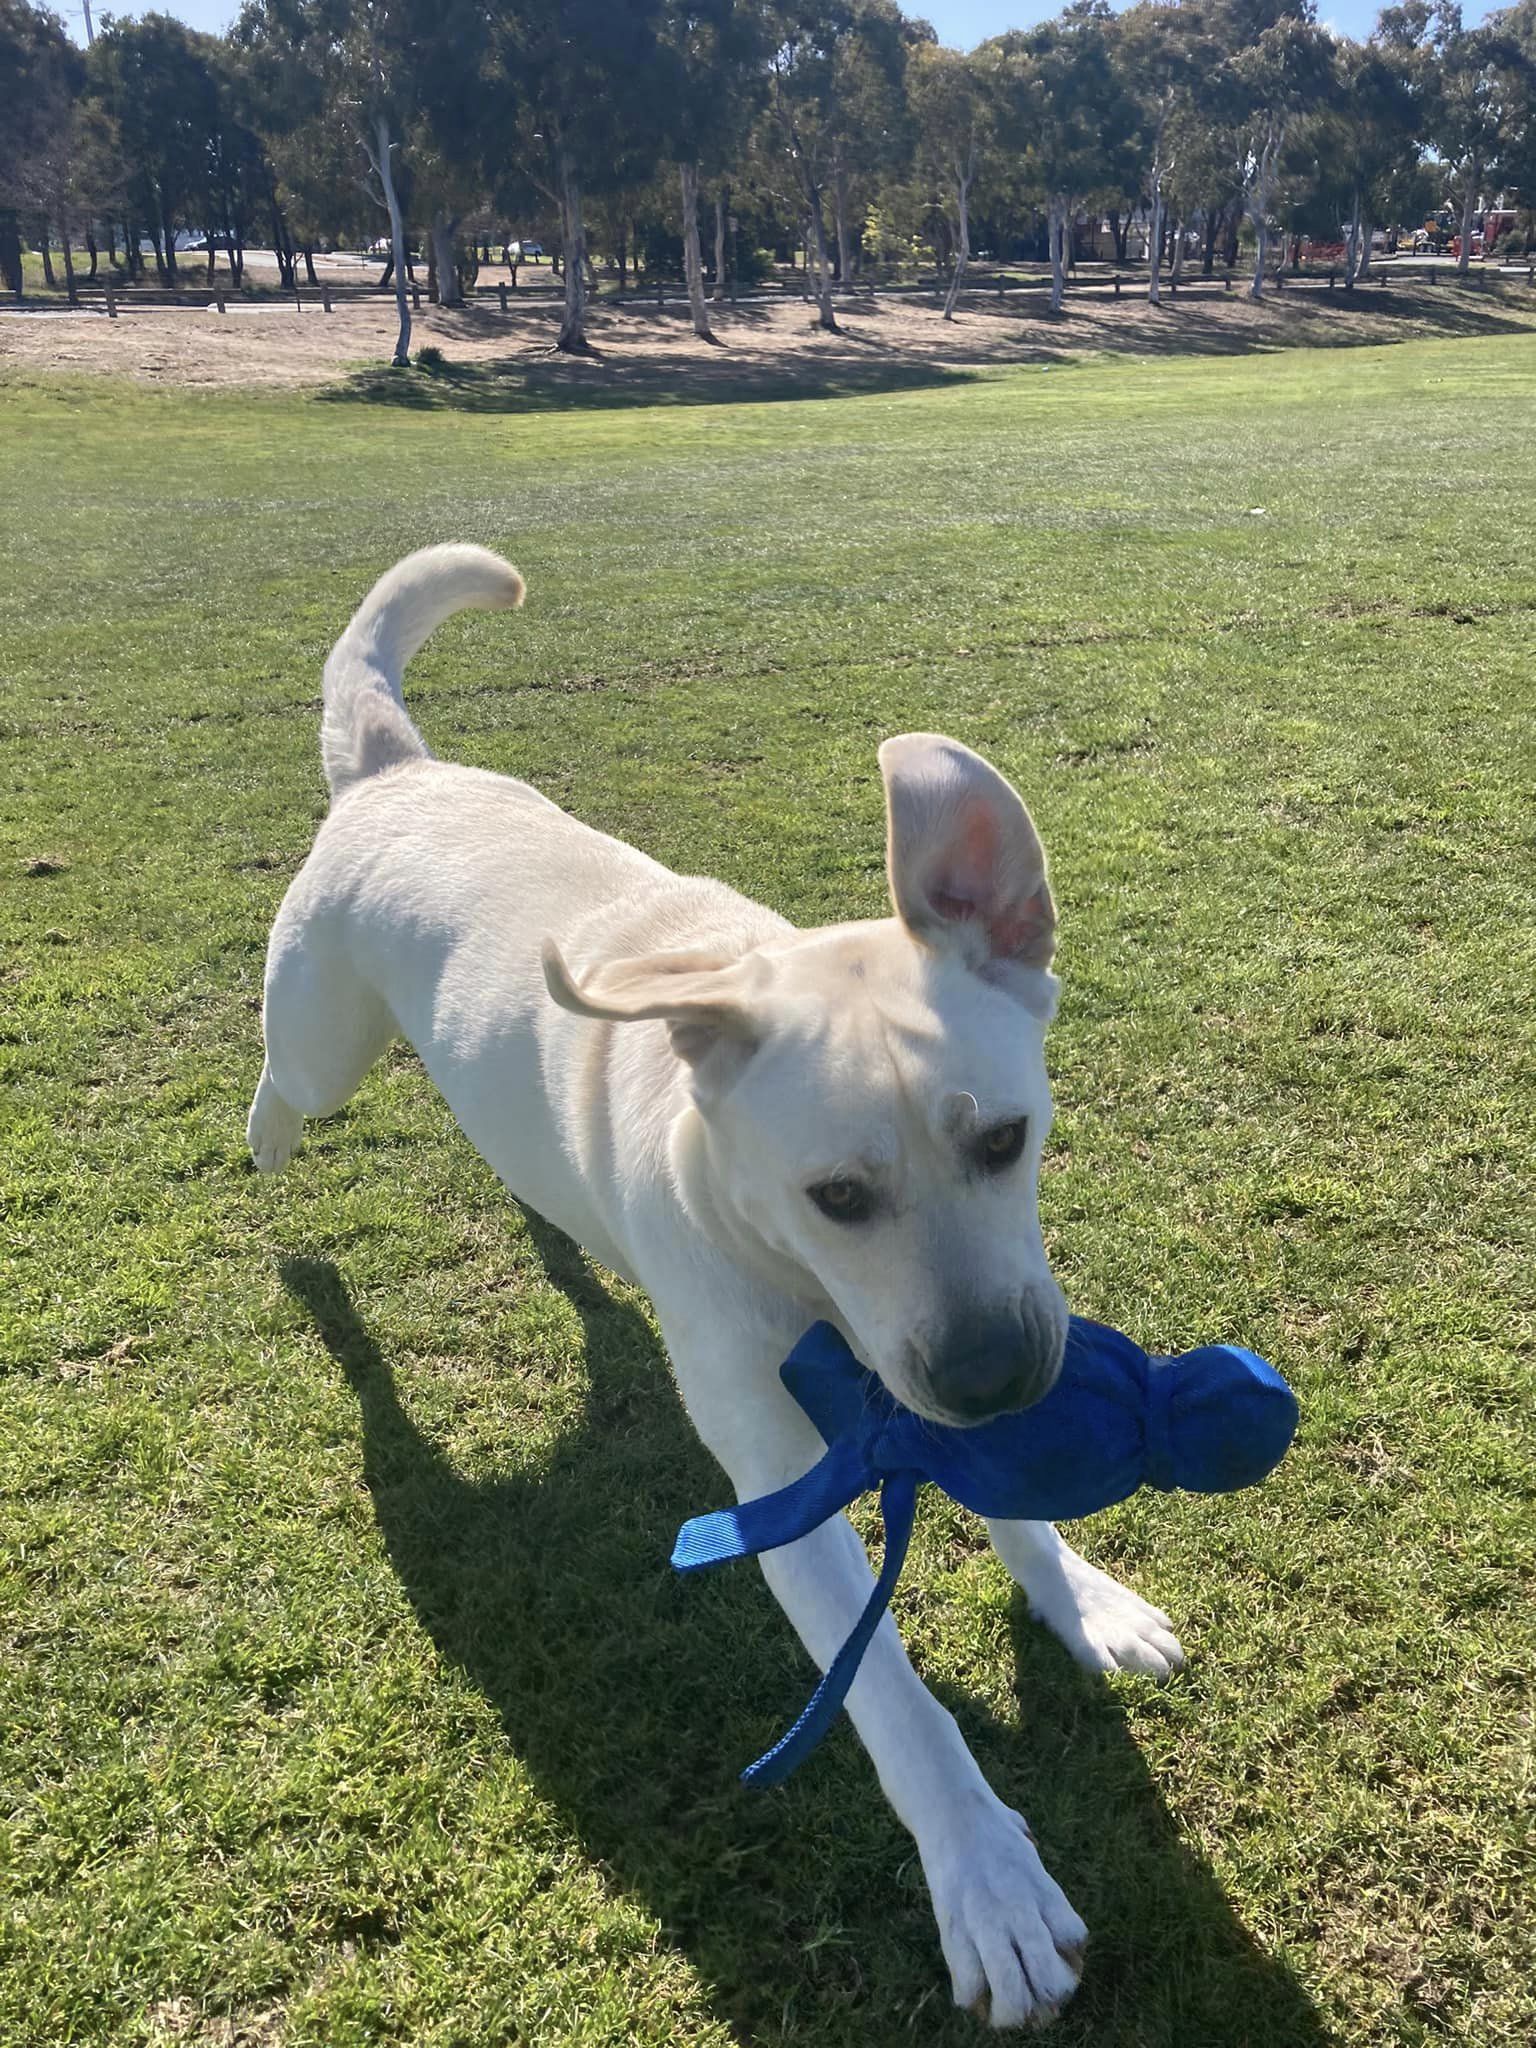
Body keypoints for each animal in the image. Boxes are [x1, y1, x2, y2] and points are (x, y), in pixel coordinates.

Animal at [252, 548, 1187, 2031]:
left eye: (1006, 1139)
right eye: (836, 1197)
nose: (996, 1378)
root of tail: (401, 770)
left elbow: (1017, 1513)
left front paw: (1079, 1596)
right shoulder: (776, 1468)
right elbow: (896, 1703)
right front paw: (986, 1880)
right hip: (321, 1036)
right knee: (281, 1086)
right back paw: (270, 1156)